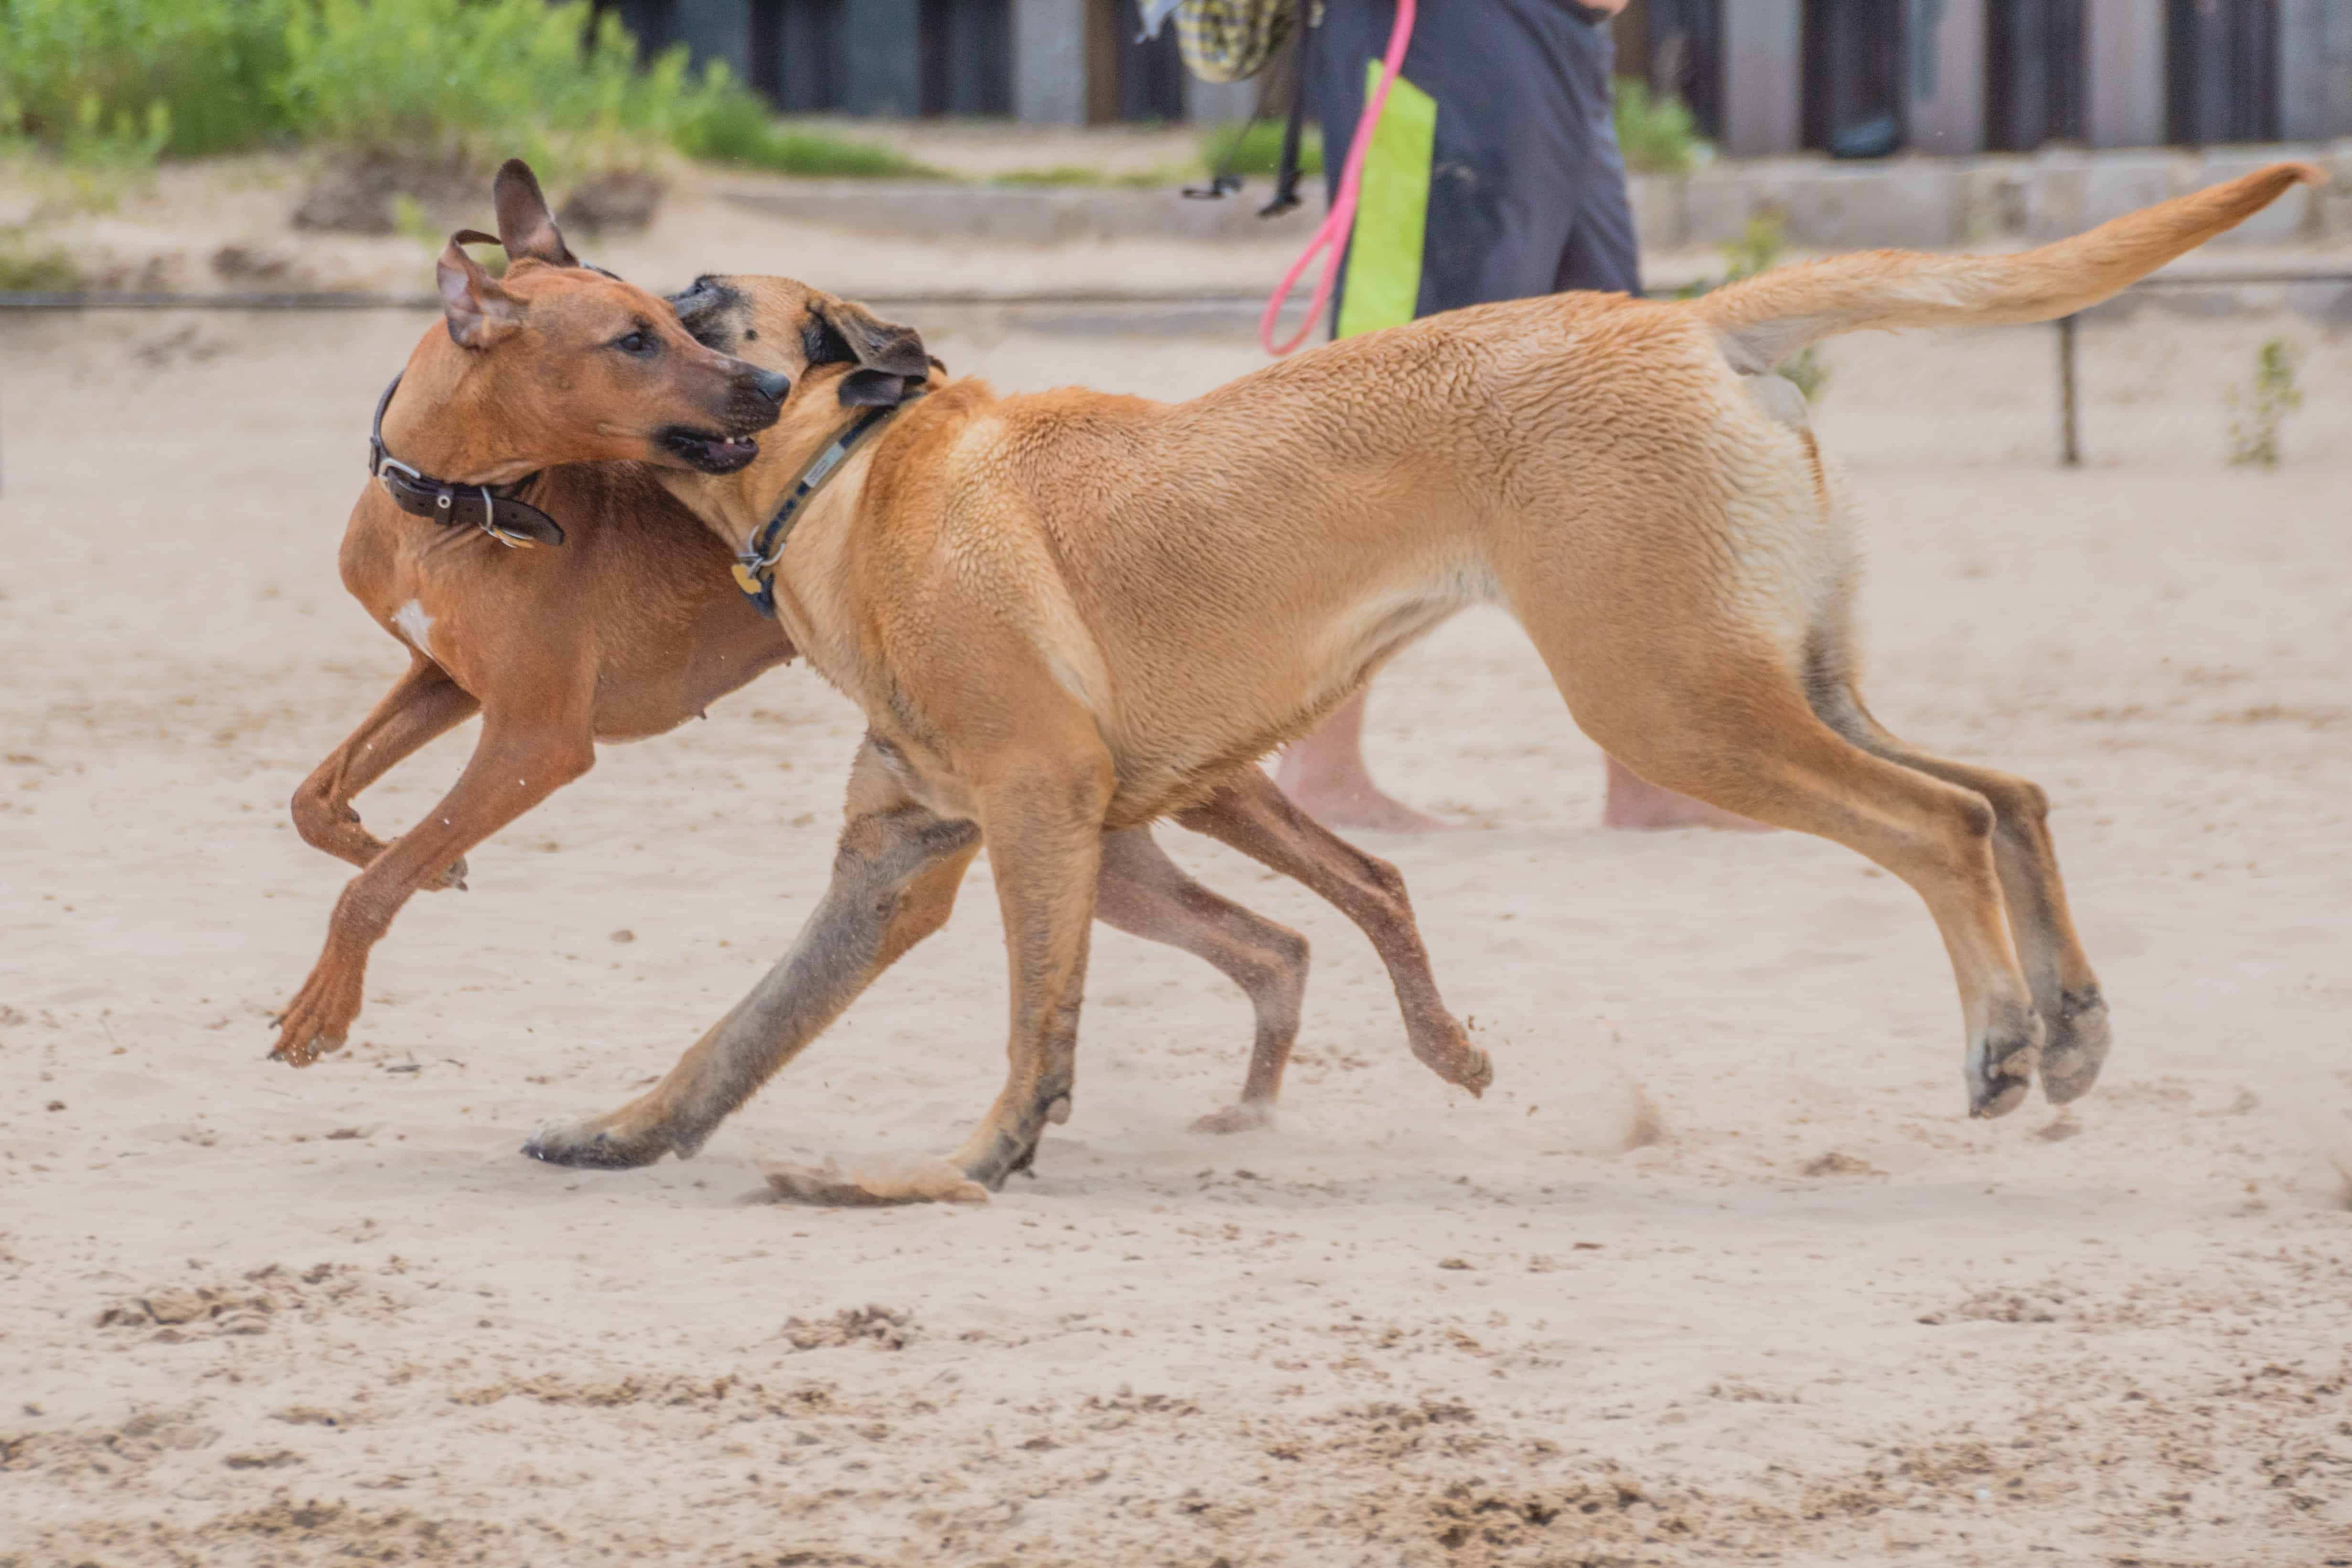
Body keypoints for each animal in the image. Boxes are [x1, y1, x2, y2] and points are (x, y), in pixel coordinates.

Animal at [267, 162, 1458, 1142]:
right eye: (634, 339)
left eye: (670, 321)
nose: (761, 397)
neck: (457, 504)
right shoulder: (445, 683)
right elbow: (318, 801)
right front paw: (402, 846)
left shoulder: (538, 738)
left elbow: (373, 884)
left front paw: (328, 995)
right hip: (1095, 829)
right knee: (1270, 942)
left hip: (1176, 769)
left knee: (1364, 879)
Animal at [501, 162, 2314, 1189]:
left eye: (694, 301)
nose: (550, 290)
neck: (852, 473)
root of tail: (1684, 321)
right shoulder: (895, 857)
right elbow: (731, 1037)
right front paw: (620, 1132)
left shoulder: (1034, 813)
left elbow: (1037, 1016)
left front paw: (994, 1150)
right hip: (1785, 679)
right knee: (2008, 791)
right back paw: (2069, 1025)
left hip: (1680, 704)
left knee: (1937, 827)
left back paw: (2003, 1037)